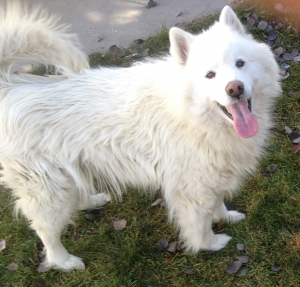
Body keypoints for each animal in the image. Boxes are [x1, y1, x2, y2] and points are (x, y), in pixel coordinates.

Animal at [0, 2, 282, 272]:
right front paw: (210, 244)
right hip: (48, 190)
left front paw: (225, 217)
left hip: (69, 175)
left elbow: (219, 202)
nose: (235, 89)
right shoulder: (194, 188)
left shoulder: (215, 174)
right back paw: (65, 262)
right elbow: (200, 225)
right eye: (210, 75)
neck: (191, 114)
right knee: (46, 233)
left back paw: (92, 201)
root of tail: (11, 87)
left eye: (240, 63)